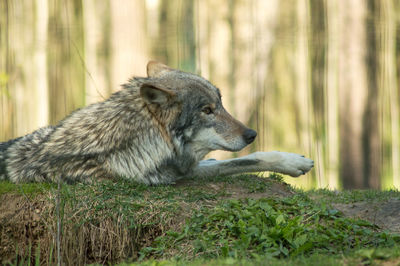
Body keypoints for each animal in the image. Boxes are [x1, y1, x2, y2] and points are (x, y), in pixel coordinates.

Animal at [0, 61, 312, 184]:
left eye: (221, 104)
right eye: (207, 110)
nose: (251, 134)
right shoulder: (182, 174)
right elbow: (246, 161)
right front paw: (293, 162)